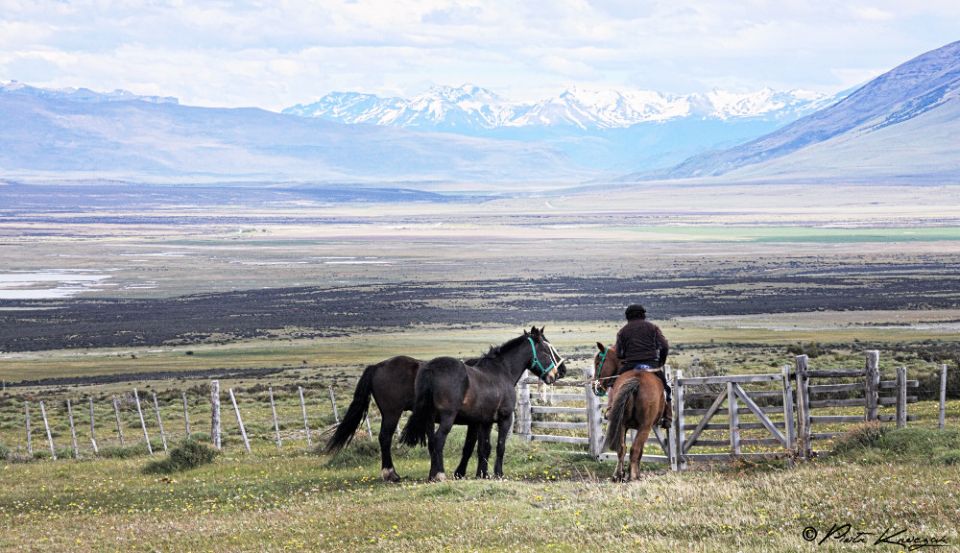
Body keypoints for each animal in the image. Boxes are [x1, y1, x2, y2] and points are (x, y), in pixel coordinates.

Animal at [400, 326, 568, 480]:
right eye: (546, 351)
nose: (560, 372)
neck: (502, 371)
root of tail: (430, 368)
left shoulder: (484, 422)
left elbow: (483, 447)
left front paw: (482, 474)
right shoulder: (505, 418)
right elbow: (500, 446)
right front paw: (498, 473)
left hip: (428, 418)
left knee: (431, 444)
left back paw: (432, 475)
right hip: (447, 418)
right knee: (439, 440)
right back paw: (440, 474)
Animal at [592, 340, 668, 478]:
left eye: (598, 363)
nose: (595, 386)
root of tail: (637, 380)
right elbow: (640, 451)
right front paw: (635, 472)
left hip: (622, 424)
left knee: (622, 449)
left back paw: (618, 474)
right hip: (645, 426)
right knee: (635, 449)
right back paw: (633, 476)